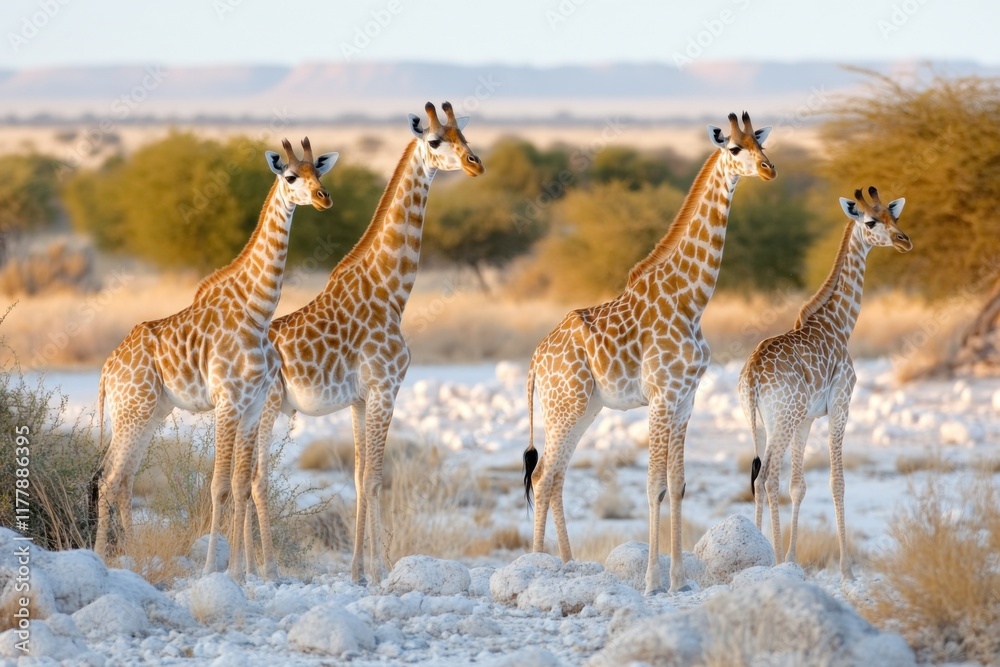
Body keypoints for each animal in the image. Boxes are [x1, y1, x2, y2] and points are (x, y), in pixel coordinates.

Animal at [94, 138, 338, 580]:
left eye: (319, 172)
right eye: (290, 177)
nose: (323, 198)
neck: (258, 311)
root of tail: (107, 369)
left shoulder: (253, 405)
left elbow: (242, 483)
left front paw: (240, 572)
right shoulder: (227, 402)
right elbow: (219, 485)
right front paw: (213, 569)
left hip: (150, 412)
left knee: (125, 480)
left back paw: (132, 556)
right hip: (132, 411)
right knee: (109, 478)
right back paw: (101, 557)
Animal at [246, 102, 483, 582]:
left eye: (465, 136)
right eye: (436, 141)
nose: (475, 164)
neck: (392, 291)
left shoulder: (358, 398)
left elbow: (359, 477)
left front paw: (358, 570)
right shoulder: (384, 387)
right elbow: (376, 476)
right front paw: (381, 570)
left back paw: (240, 566)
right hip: (267, 407)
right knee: (257, 478)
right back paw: (268, 570)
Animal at [522, 112, 775, 594]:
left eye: (761, 141)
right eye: (735, 148)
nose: (770, 169)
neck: (692, 299)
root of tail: (535, 360)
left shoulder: (685, 399)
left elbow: (677, 485)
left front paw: (677, 579)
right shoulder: (661, 397)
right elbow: (653, 484)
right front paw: (651, 581)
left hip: (585, 407)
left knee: (556, 476)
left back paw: (565, 564)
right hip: (566, 405)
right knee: (544, 477)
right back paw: (534, 567)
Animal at [739, 186, 911, 581]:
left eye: (895, 216)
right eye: (871, 221)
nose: (904, 240)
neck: (840, 323)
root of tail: (752, 375)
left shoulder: (807, 418)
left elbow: (798, 485)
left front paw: (793, 558)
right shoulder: (841, 404)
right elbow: (837, 482)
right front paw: (847, 569)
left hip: (763, 423)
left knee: (758, 478)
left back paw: (761, 552)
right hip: (783, 420)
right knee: (767, 476)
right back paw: (772, 558)